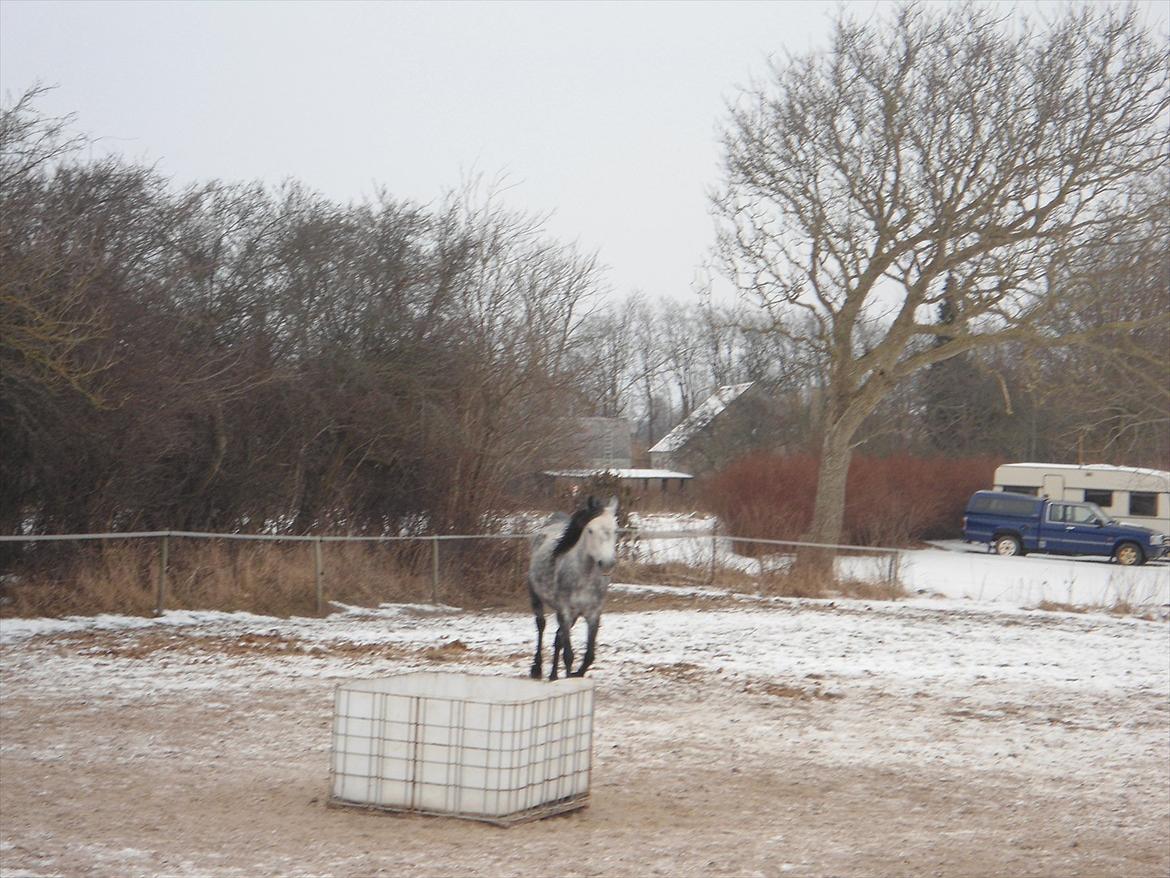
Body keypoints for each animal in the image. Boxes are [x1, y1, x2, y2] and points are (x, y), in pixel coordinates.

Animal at [528, 496, 622, 678]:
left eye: (615, 530)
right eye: (590, 530)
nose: (607, 564)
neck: (583, 577)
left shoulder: (593, 614)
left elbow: (589, 656)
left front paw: (574, 675)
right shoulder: (565, 611)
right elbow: (569, 655)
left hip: (573, 615)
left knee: (558, 638)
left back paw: (553, 675)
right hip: (536, 598)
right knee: (541, 626)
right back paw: (537, 668)